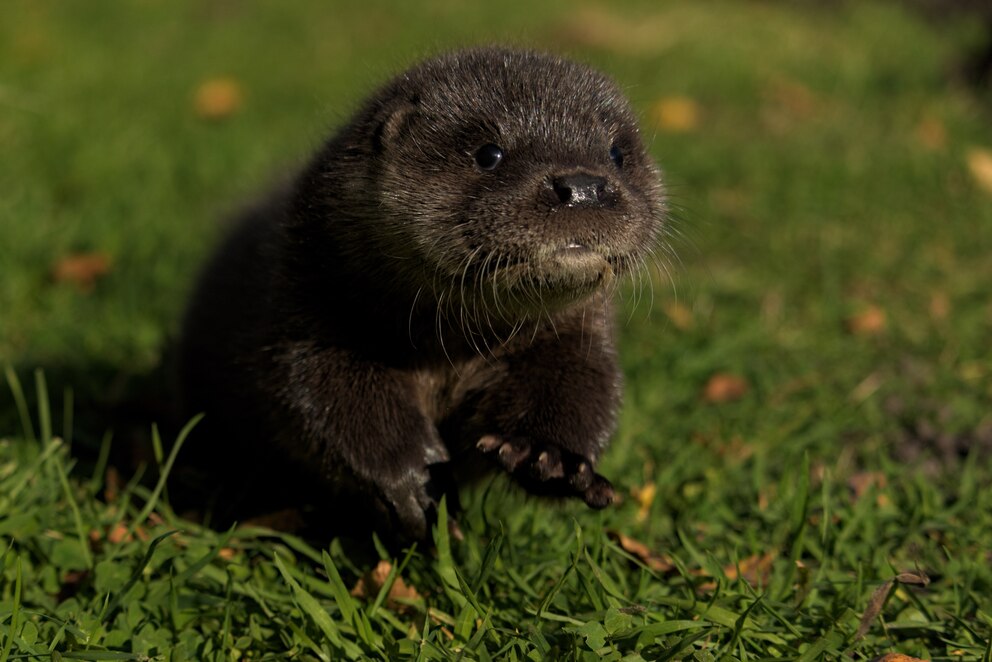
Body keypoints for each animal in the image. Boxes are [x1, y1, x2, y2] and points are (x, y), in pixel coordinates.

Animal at [182, 48, 672, 544]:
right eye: (489, 153)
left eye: (615, 153)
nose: (583, 187)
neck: (447, 355)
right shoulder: (308, 303)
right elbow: (322, 393)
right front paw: (411, 479)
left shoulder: (576, 334)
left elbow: (584, 385)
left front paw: (551, 457)